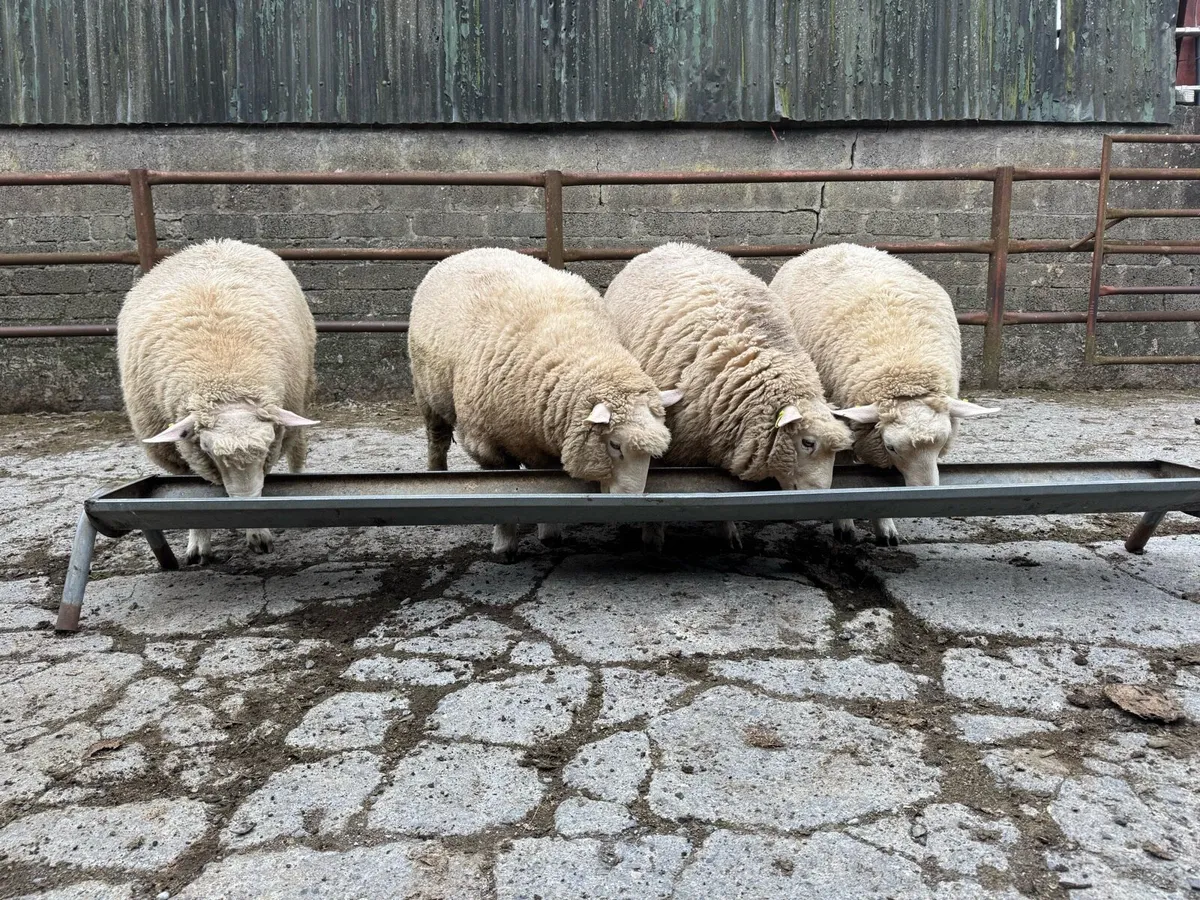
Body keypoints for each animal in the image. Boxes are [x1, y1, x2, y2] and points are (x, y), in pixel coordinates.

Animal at [117, 238, 319, 564]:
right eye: (209, 449)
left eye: (266, 447)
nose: (245, 506)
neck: (223, 377)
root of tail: (217, 242)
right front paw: (199, 545)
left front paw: (258, 533)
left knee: (298, 449)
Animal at [408, 247, 681, 560]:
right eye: (614, 445)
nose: (631, 505)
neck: (577, 349)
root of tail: (476, 250)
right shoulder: (486, 446)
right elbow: (500, 496)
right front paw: (505, 546)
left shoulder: (544, 436)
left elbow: (547, 488)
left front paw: (549, 533)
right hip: (427, 392)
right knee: (437, 440)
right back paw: (436, 476)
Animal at [770, 242, 997, 546]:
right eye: (892, 447)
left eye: (941, 444)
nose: (925, 496)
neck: (904, 368)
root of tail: (835, 245)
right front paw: (844, 524)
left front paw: (885, 527)